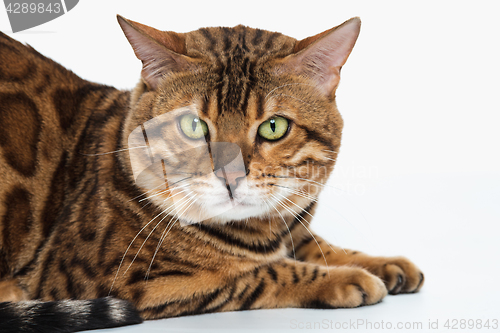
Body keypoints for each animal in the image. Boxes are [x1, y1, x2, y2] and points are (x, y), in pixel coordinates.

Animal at [0, 14, 422, 332]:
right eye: (193, 126)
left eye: (273, 127)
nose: (230, 175)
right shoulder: (122, 280)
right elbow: (260, 274)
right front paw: (347, 277)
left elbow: (313, 243)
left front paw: (380, 262)